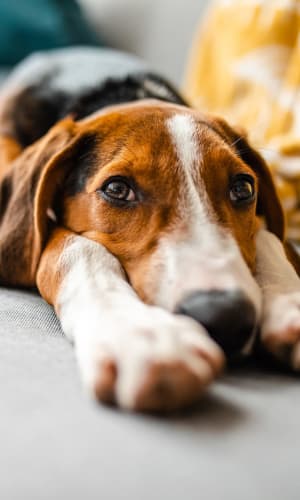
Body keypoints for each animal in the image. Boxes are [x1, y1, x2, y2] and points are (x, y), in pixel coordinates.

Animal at [0, 48, 300, 412]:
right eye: (117, 189)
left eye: (243, 188)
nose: (225, 316)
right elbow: (77, 248)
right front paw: (140, 334)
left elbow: (268, 236)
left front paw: (288, 298)